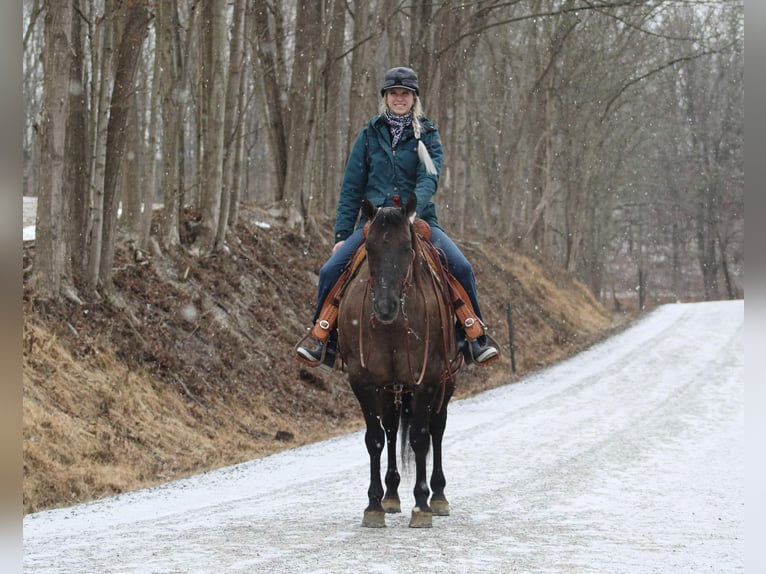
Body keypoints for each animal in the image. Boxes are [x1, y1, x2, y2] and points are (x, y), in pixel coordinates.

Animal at [338, 196, 460, 528]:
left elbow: (420, 437)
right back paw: (391, 495)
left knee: (437, 428)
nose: (385, 306)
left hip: (446, 382)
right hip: (390, 388)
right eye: (369, 248)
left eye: (406, 248)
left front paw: (422, 505)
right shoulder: (364, 380)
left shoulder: (427, 379)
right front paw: (373, 505)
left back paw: (439, 496)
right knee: (392, 429)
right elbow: (375, 439)